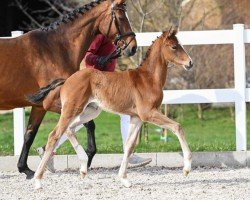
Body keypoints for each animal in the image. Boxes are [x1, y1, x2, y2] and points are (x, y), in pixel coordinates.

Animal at [28, 27, 192, 189]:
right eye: (174, 46)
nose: (190, 63)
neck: (148, 78)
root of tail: (67, 80)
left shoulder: (136, 118)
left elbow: (129, 145)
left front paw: (124, 179)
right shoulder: (148, 113)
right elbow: (177, 127)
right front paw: (186, 169)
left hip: (90, 111)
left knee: (69, 129)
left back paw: (83, 168)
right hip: (72, 109)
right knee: (54, 135)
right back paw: (38, 180)